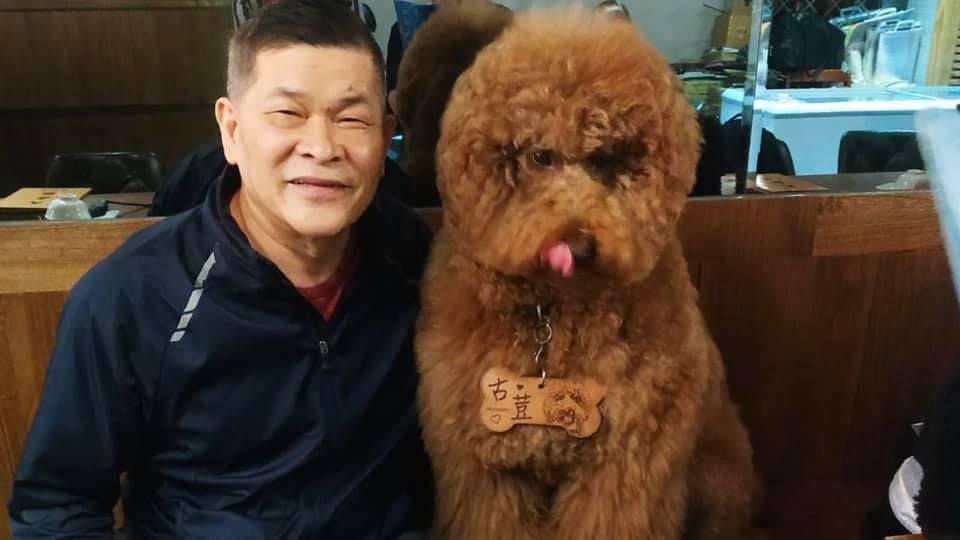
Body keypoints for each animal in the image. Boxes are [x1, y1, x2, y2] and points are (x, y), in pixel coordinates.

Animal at [416, 7, 758, 540]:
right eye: (540, 156)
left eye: (605, 160)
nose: (577, 246)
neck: (555, 315)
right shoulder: (486, 470)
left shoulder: (624, 467)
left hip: (715, 481)